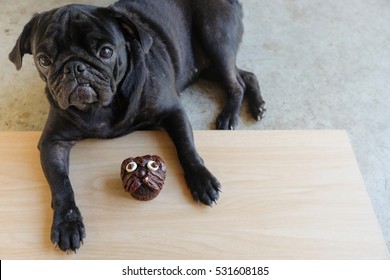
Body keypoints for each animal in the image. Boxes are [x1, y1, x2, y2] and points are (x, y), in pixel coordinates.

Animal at [9, 0, 266, 254]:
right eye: (44, 60)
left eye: (106, 52)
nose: (74, 67)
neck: (101, 107)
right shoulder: (53, 143)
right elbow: (62, 184)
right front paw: (67, 223)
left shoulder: (173, 111)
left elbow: (187, 149)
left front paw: (201, 179)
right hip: (206, 66)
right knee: (246, 76)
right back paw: (257, 105)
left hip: (215, 40)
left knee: (235, 82)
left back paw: (231, 116)